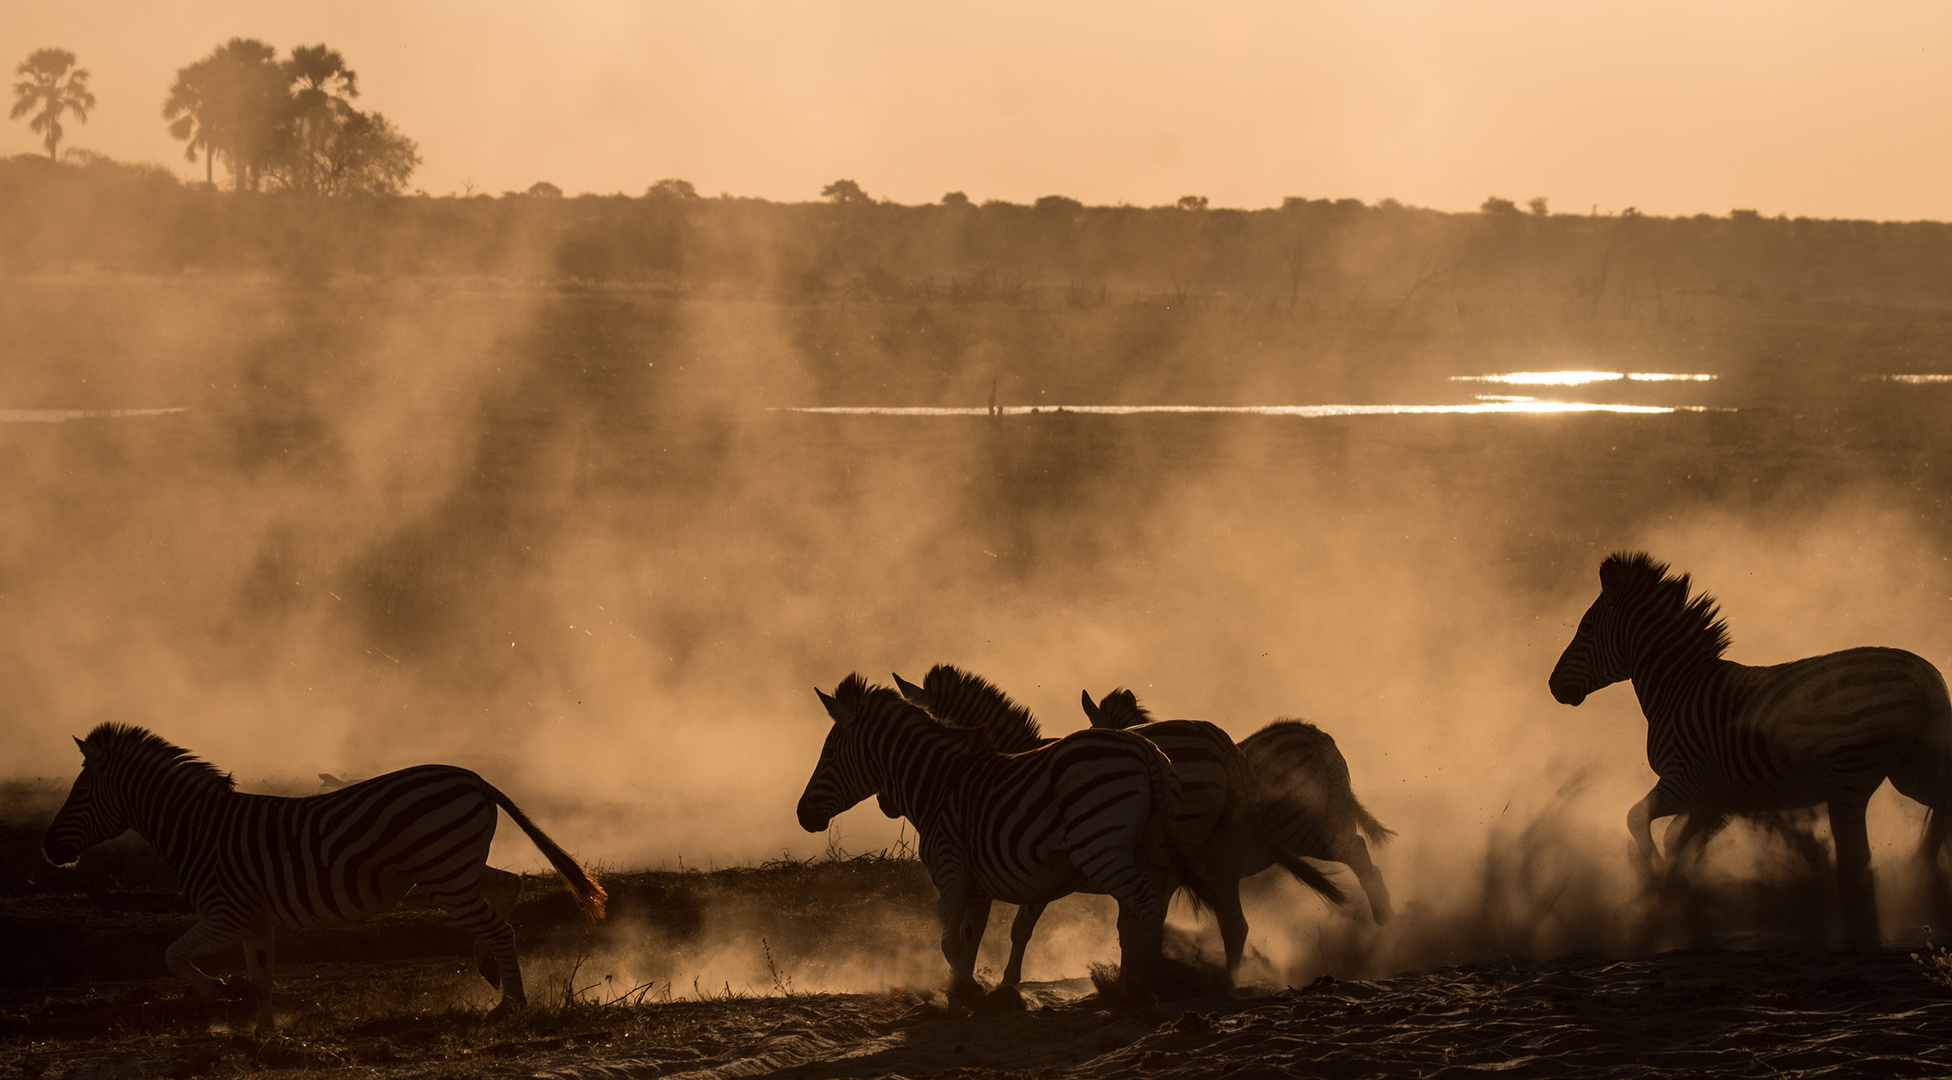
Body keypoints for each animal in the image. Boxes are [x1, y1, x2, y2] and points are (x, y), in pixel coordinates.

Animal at [45, 718, 609, 1031]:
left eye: (79, 792)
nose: (49, 848)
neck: (199, 830)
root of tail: (473, 777)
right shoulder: (254, 918)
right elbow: (263, 977)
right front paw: (264, 1036)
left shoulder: (226, 913)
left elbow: (173, 955)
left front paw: (220, 993)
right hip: (450, 871)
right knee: (509, 887)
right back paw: (490, 971)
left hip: (445, 873)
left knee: (500, 926)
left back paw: (511, 1006)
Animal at [792, 667, 1218, 1007]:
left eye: (828, 752)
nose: (801, 815)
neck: (940, 782)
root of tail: (1145, 748)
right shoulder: (979, 887)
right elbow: (970, 940)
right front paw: (965, 996)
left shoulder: (954, 872)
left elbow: (958, 941)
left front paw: (983, 990)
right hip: (1152, 852)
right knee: (1137, 919)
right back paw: (1135, 986)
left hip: (1106, 851)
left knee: (1145, 907)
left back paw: (1149, 984)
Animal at [894, 660, 1342, 980]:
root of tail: (1224, 744)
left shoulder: (1037, 866)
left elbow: (1021, 928)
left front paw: (1005, 984)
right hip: (1217, 850)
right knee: (1232, 923)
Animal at [1538, 550, 1952, 937]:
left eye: (1586, 627)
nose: (1553, 685)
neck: (1678, 689)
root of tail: (1923, 674)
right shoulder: (1714, 798)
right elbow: (1676, 839)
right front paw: (1680, 894)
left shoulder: (1684, 779)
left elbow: (1636, 818)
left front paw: (1656, 880)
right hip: (1912, 769)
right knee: (1936, 812)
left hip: (1850, 775)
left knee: (1858, 858)